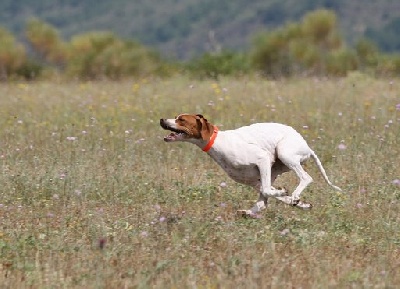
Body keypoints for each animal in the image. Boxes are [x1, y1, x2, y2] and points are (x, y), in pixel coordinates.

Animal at [159, 112, 340, 216]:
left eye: (181, 119)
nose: (161, 119)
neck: (218, 142)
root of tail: (307, 147)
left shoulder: (262, 159)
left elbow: (269, 191)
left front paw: (287, 194)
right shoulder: (254, 180)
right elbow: (268, 194)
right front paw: (296, 201)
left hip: (284, 154)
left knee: (306, 178)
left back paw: (294, 196)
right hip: (274, 169)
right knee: (262, 202)